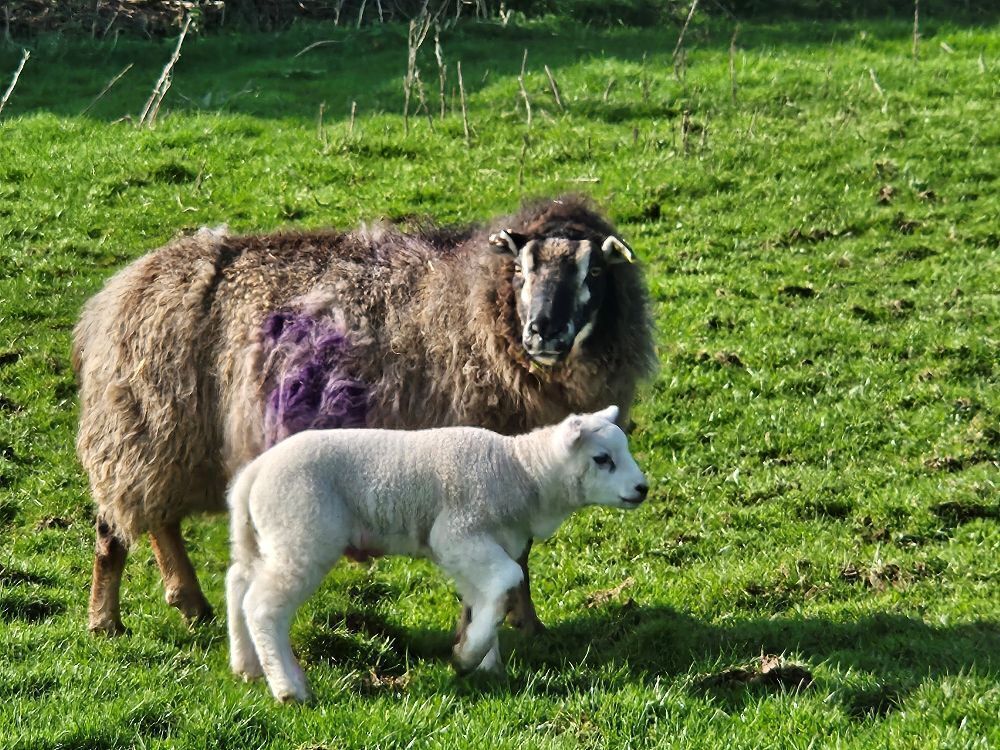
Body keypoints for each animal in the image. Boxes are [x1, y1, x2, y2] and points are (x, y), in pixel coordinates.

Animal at [73, 194, 657, 636]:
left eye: (594, 271)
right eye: (520, 268)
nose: (543, 331)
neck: (476, 309)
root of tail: (122, 290)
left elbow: (521, 559)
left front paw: (528, 627)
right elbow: (513, 562)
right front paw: (519, 628)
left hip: (163, 437)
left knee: (150, 520)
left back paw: (181, 605)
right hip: (144, 428)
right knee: (120, 526)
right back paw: (110, 620)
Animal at [227, 406, 648, 703]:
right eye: (602, 459)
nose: (642, 488)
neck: (520, 472)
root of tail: (255, 472)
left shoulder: (476, 549)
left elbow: (483, 598)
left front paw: (484, 664)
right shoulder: (457, 535)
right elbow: (509, 578)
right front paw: (467, 658)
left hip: (267, 538)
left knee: (237, 583)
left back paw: (246, 665)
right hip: (302, 534)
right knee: (263, 607)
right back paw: (289, 688)